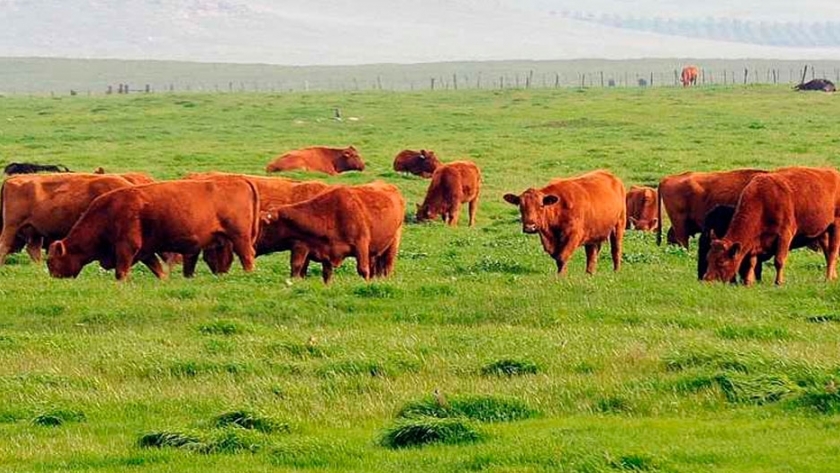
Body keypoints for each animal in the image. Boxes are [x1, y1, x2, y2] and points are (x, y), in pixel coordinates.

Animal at [47, 178, 258, 280]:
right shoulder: (145, 252)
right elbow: (158, 270)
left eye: (51, 262)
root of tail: (240, 181)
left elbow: (121, 272)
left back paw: (248, 275)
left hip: (239, 237)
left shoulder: (126, 248)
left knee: (247, 256)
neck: (108, 212)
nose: (55, 279)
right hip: (221, 240)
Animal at [262, 181, 406, 282]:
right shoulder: (324, 251)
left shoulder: (361, 245)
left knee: (387, 266)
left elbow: (363, 270)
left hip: (393, 244)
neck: (331, 213)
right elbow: (326, 275)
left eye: (264, 224)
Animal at [704, 166, 840, 284]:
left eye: (721, 261)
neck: (762, 201)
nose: (707, 280)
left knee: (833, 251)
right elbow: (752, 261)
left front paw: (778, 282)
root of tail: (835, 173)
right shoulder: (756, 240)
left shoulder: (784, 235)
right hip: (823, 231)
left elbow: (779, 260)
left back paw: (828, 278)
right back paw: (833, 277)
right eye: (708, 258)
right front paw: (748, 282)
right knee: (827, 251)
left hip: (836, 225)